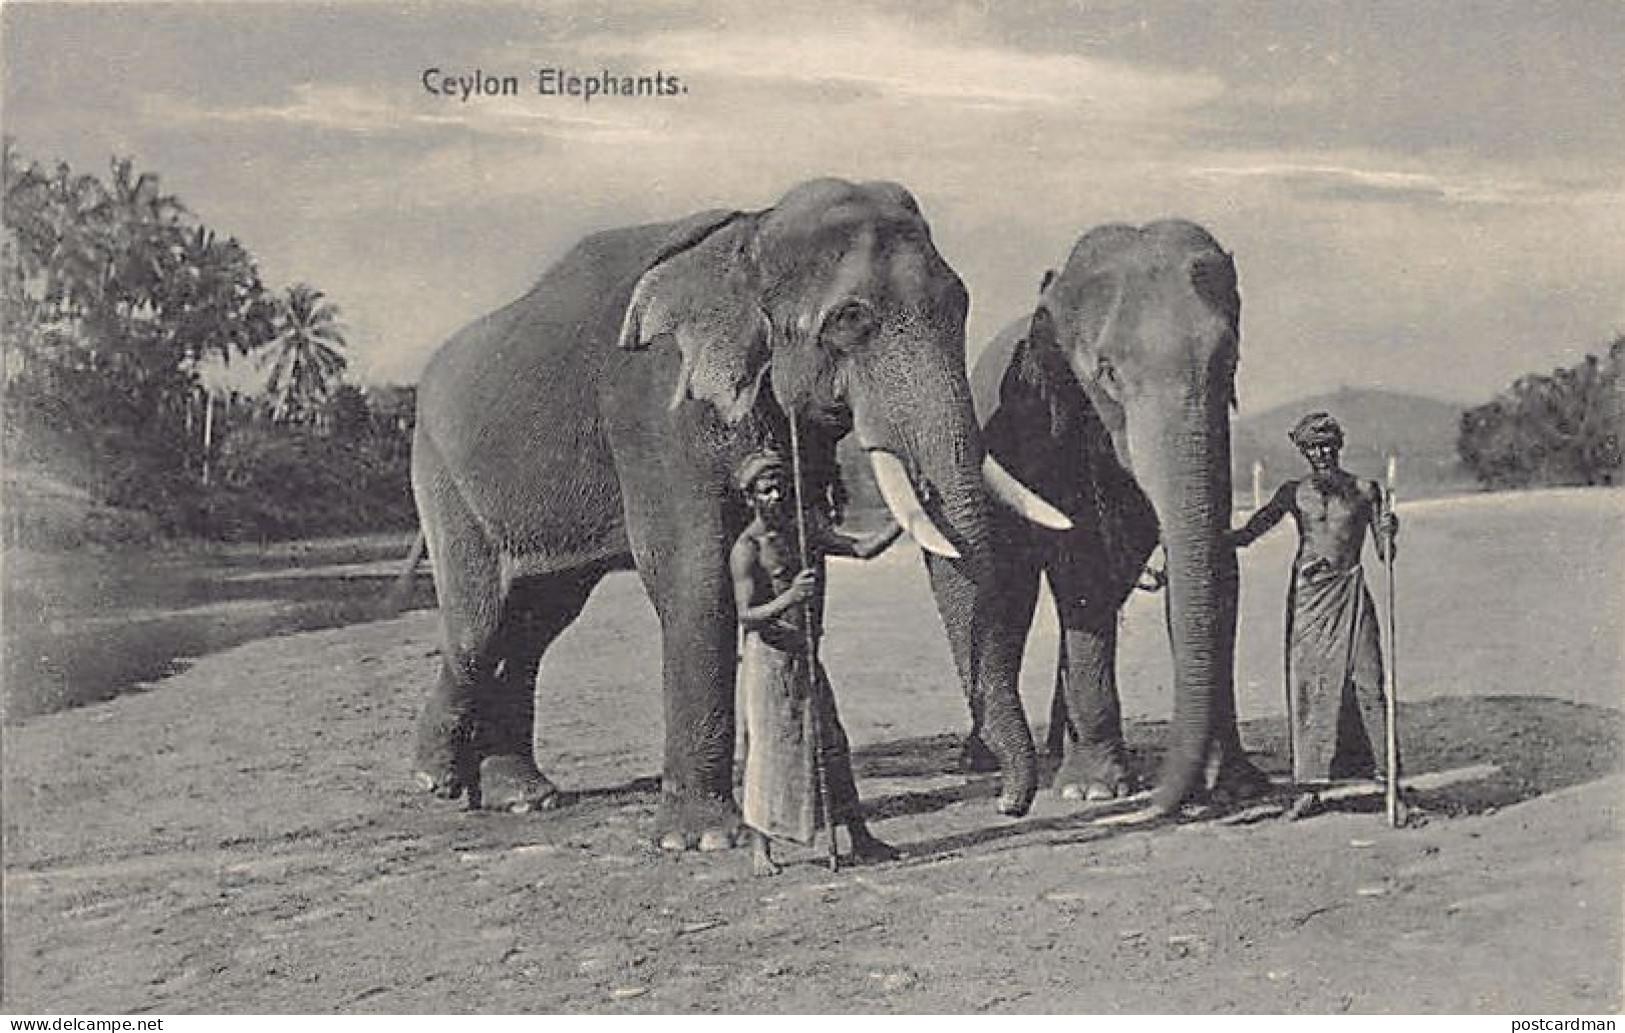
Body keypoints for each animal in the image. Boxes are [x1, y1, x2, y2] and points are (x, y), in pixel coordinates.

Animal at [406, 178, 1070, 848]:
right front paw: (702, 839)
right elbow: (695, 578)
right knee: (479, 624)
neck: (752, 232)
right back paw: (439, 779)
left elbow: (802, 557)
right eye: (850, 319)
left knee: (537, 622)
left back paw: (521, 795)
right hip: (442, 477)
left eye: (961, 306)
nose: (1007, 804)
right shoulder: (655, 411)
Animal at [942, 219, 1270, 817]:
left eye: (1228, 361)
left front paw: (1238, 783)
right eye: (1107, 373)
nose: (1159, 802)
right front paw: (1092, 789)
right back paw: (984, 758)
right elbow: (1081, 567)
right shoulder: (1053, 419)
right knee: (1013, 596)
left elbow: (1213, 562)